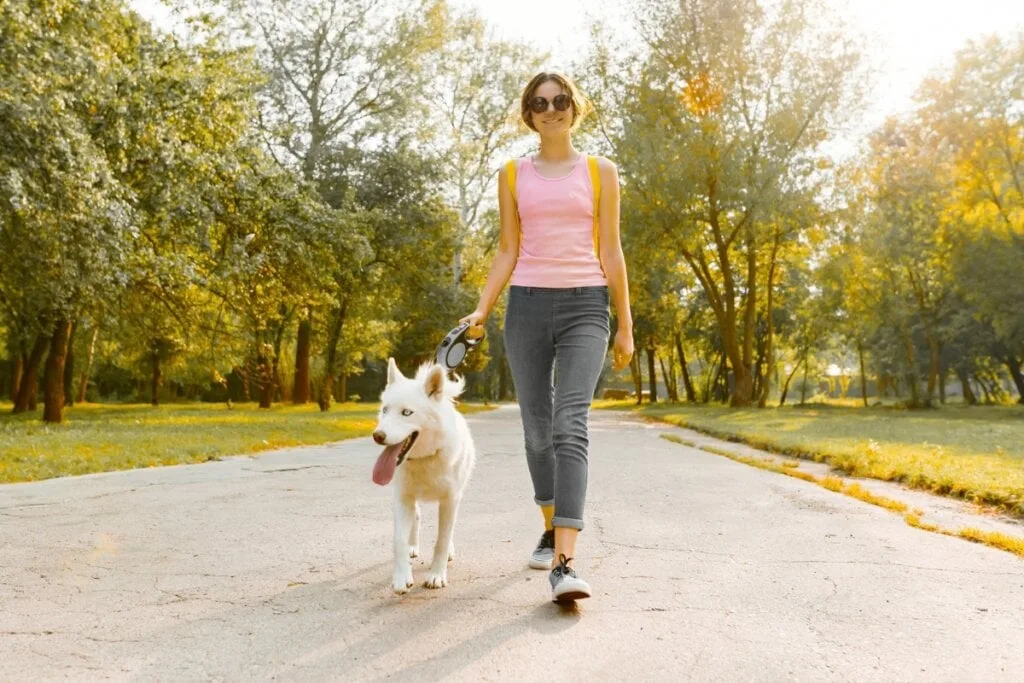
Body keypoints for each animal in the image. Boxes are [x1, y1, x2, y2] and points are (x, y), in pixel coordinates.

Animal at [372, 358, 475, 593]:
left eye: (406, 413)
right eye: (385, 410)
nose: (377, 436)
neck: (425, 458)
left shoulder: (450, 500)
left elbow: (442, 540)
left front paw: (436, 575)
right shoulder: (402, 499)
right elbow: (398, 541)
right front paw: (402, 577)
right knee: (416, 517)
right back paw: (413, 546)